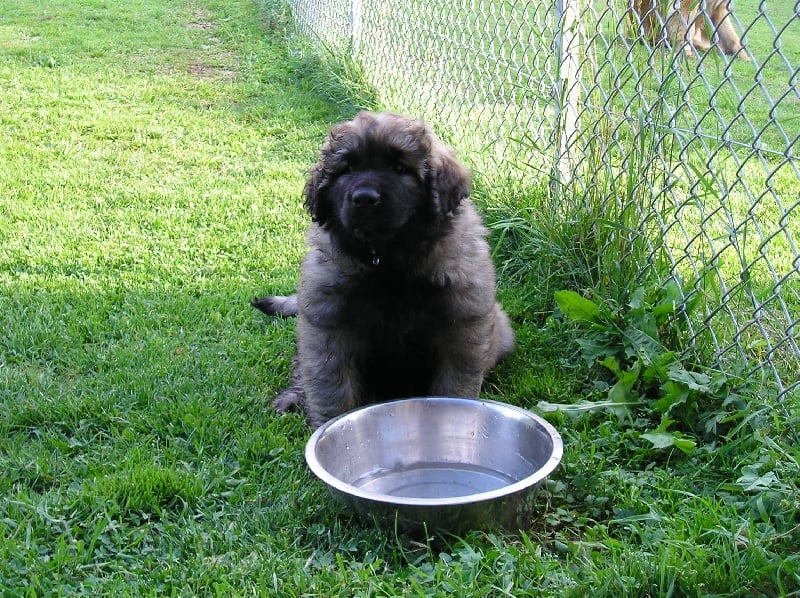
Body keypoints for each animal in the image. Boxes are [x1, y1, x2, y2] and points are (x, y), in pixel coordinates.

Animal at [260, 111, 516, 432]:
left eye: (399, 168)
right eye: (347, 168)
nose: (364, 198)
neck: (389, 260)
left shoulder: (462, 322)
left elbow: (455, 382)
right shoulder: (327, 323)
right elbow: (329, 385)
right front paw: (327, 423)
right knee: (301, 369)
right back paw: (293, 398)